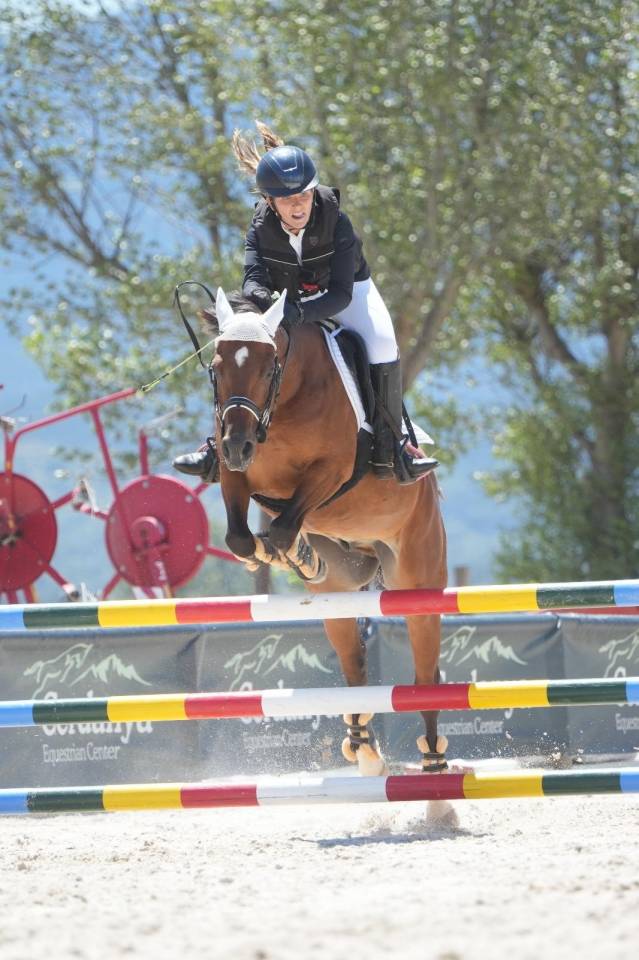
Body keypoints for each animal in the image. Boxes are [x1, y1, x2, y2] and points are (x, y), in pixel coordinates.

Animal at [204, 287, 448, 776]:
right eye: (216, 368)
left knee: (425, 667)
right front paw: (287, 554)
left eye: (268, 366)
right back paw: (364, 746)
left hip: (418, 578)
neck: (283, 405)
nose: (238, 446)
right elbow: (240, 537)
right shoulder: (235, 476)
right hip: (339, 593)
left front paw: (295, 554)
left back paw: (432, 757)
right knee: (354, 663)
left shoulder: (330, 472)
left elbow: (282, 528)